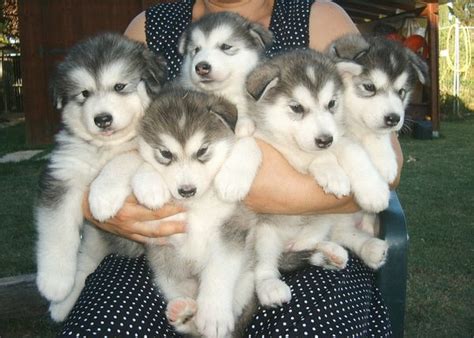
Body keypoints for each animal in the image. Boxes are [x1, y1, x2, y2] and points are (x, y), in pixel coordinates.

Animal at [34, 32, 167, 308]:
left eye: (119, 87)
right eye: (84, 93)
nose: (102, 119)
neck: (106, 147)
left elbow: (124, 159)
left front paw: (103, 197)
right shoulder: (63, 172)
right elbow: (56, 229)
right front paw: (54, 282)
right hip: (94, 237)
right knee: (85, 261)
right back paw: (62, 305)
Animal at [246, 49, 390, 306]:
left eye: (331, 103)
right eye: (296, 108)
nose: (325, 140)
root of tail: (291, 243)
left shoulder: (341, 137)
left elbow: (353, 152)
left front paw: (374, 190)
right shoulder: (279, 149)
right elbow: (315, 158)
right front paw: (333, 173)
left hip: (328, 220)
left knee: (337, 236)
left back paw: (354, 249)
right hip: (264, 233)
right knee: (264, 263)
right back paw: (270, 285)